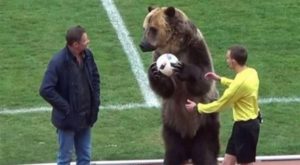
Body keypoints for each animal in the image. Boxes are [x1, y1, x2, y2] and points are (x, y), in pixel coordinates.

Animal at [140, 5, 220, 164]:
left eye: (153, 29)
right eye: (144, 28)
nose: (142, 44)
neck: (175, 46)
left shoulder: (195, 48)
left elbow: (204, 78)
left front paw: (184, 70)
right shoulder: (157, 55)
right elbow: (167, 89)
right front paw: (154, 73)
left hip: (205, 123)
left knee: (205, 152)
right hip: (171, 124)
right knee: (173, 153)